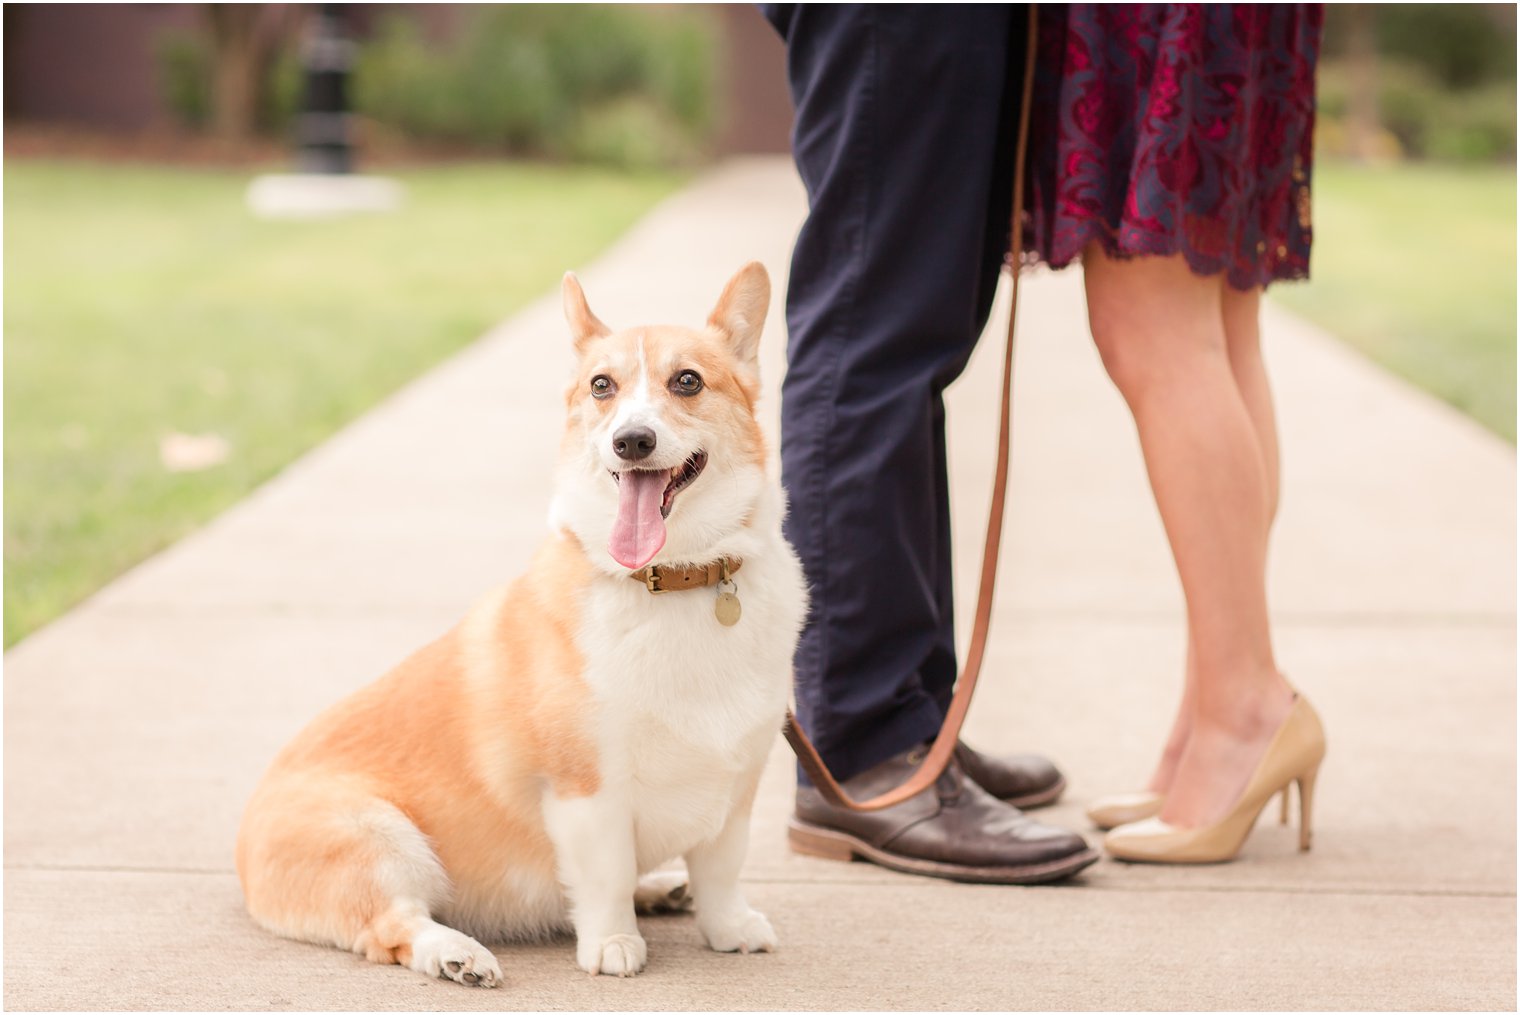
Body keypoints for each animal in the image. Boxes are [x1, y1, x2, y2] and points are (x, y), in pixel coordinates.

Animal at [237, 261, 808, 984]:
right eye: (601, 386)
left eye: (688, 381)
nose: (631, 441)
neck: (677, 578)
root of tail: (241, 846)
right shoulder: (586, 790)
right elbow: (604, 875)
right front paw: (612, 944)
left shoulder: (736, 785)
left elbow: (722, 871)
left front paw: (727, 927)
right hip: (382, 839)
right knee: (392, 926)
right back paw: (458, 954)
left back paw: (659, 889)